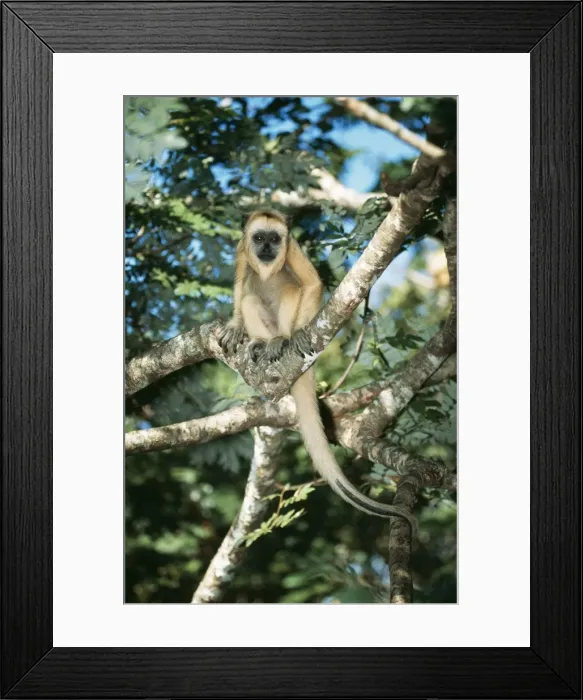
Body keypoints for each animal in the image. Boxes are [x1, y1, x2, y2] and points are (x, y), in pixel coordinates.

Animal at [218, 209, 417, 535]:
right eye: (259, 238)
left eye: (275, 239)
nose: (267, 249)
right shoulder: (241, 251)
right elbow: (238, 287)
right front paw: (235, 326)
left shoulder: (293, 248)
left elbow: (311, 285)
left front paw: (298, 333)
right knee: (249, 293)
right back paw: (260, 342)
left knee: (291, 286)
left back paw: (282, 339)